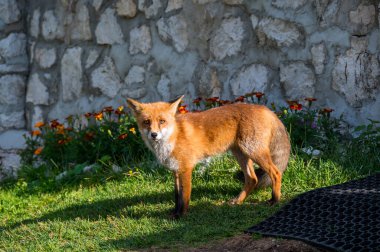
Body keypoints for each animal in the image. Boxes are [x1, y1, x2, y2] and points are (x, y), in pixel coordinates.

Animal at [126, 95, 290, 218]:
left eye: (162, 121)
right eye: (146, 122)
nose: (154, 135)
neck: (173, 137)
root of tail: (265, 108)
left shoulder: (186, 169)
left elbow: (184, 196)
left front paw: (181, 215)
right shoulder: (175, 170)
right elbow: (177, 196)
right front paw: (174, 213)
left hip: (253, 151)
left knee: (275, 173)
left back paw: (275, 200)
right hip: (241, 154)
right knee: (252, 179)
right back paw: (238, 201)